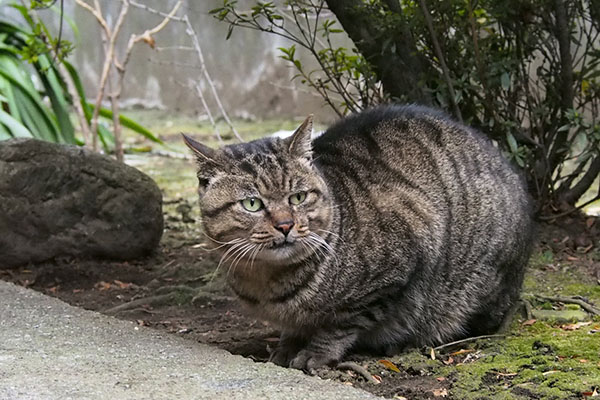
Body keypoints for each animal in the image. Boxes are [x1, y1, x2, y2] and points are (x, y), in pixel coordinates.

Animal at [183, 104, 536, 370]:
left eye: (298, 197)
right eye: (252, 204)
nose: (285, 225)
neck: (268, 282)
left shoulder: (398, 262)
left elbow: (342, 323)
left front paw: (314, 353)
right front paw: (285, 347)